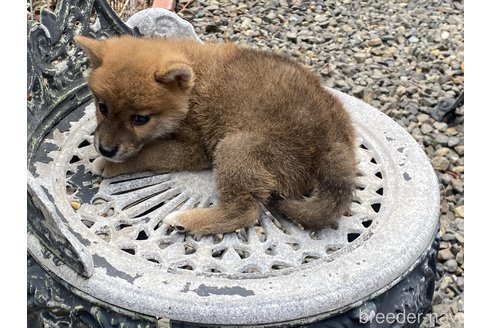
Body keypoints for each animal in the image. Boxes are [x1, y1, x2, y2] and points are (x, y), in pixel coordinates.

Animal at [75, 35, 356, 236]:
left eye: (140, 119)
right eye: (102, 107)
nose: (105, 149)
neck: (193, 89)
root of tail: (334, 143)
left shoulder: (194, 150)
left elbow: (148, 152)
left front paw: (109, 164)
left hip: (235, 147)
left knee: (244, 211)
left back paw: (186, 220)